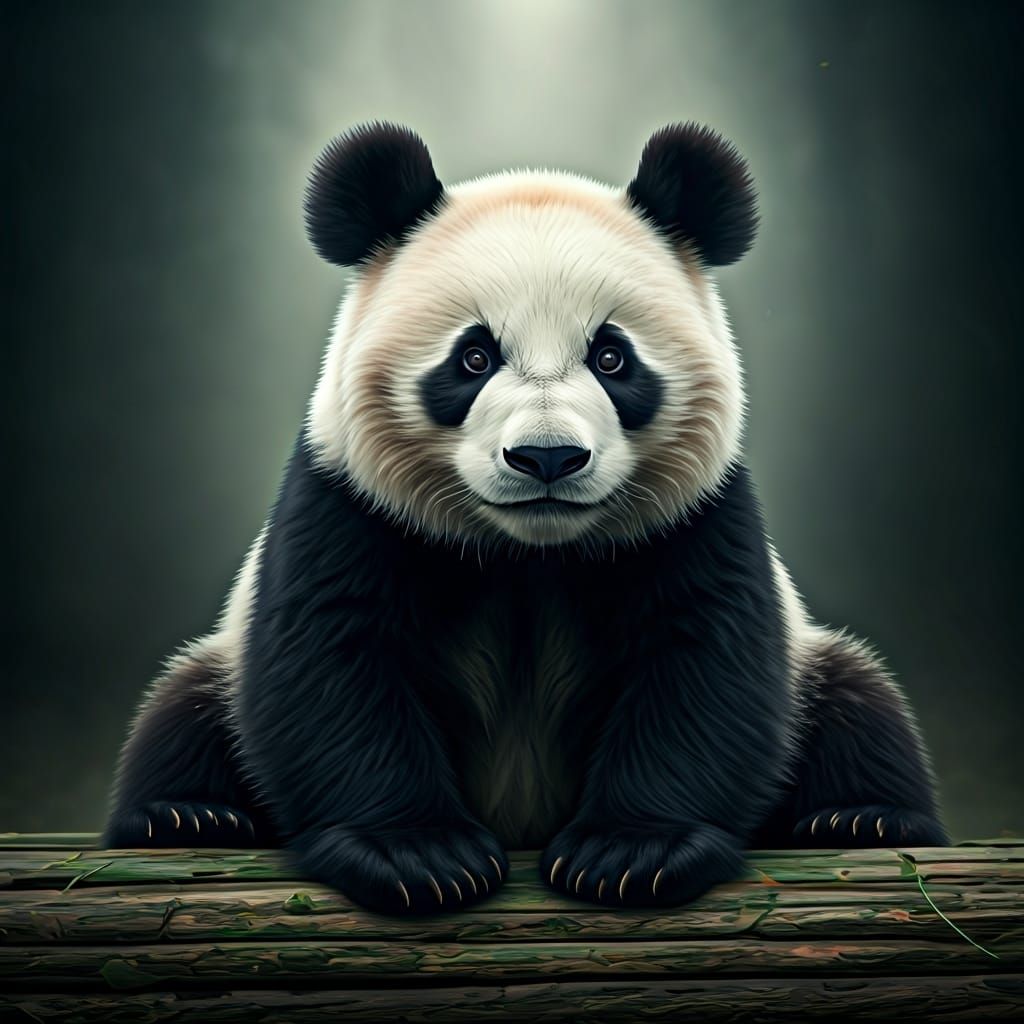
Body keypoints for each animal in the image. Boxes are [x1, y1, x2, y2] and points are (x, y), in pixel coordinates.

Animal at [105, 121, 948, 914]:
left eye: (612, 357)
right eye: (474, 357)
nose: (547, 457)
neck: (529, 553)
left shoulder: (695, 515)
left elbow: (706, 661)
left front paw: (631, 852)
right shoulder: (347, 503)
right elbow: (331, 660)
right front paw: (418, 855)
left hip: (820, 661)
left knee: (861, 702)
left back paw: (858, 817)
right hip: (215, 664)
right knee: (178, 710)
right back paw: (187, 815)